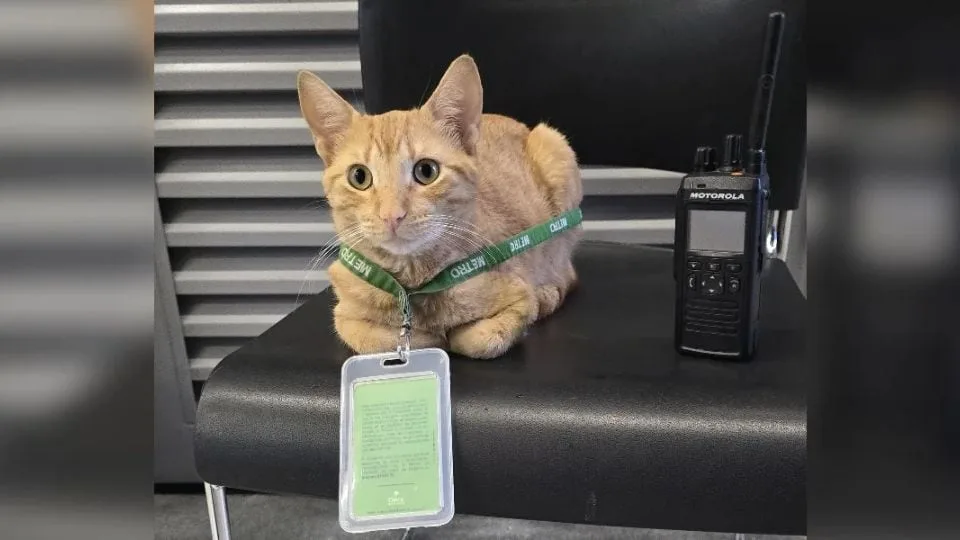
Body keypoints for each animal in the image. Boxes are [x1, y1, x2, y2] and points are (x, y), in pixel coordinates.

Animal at [297, 54, 583, 359]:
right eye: (359, 176)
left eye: (426, 171)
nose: (391, 216)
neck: (413, 290)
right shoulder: (345, 313)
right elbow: (375, 339)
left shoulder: (517, 297)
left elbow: (481, 339)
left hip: (555, 150)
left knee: (566, 272)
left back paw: (547, 293)